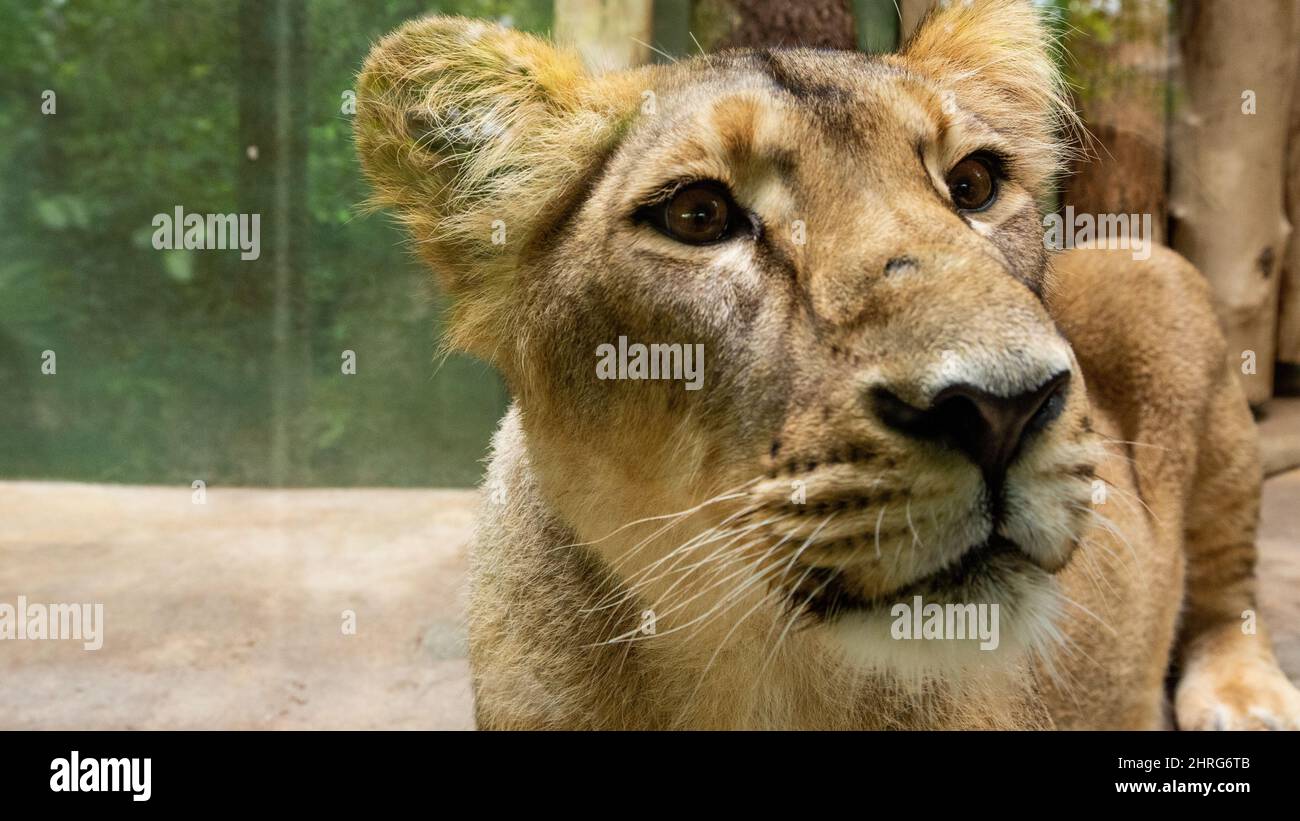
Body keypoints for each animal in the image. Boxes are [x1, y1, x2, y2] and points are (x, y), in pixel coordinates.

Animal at [354, 0, 1300, 729]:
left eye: (974, 185)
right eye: (698, 215)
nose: (1003, 410)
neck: (763, 678)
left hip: (1175, 319)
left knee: (1229, 592)